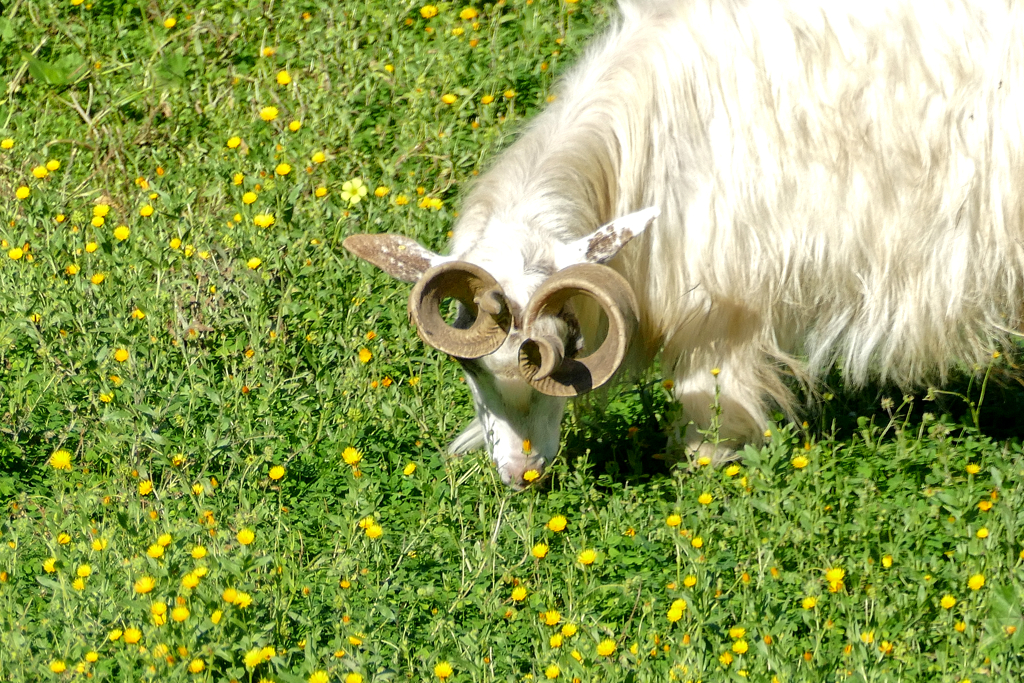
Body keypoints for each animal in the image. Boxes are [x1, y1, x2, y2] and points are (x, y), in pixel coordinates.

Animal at [344, 1, 1024, 491]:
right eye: (471, 368)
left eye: (568, 351)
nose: (521, 475)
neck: (658, 132)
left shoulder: (727, 292)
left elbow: (709, 389)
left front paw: (705, 462)